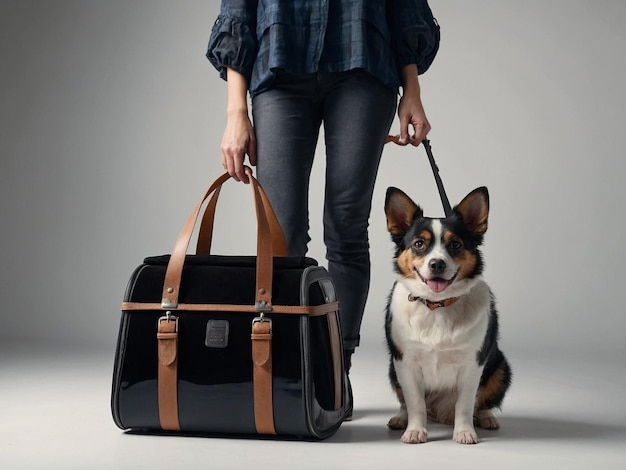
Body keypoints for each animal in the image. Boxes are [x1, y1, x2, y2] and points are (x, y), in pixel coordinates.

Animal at [382, 185, 510, 444]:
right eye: (419, 243)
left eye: (456, 245)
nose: (437, 264)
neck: (437, 305)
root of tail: (440, 413)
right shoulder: (404, 361)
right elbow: (415, 403)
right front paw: (415, 430)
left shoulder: (473, 363)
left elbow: (465, 404)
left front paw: (464, 432)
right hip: (392, 368)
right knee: (406, 402)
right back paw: (401, 419)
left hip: (501, 367)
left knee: (481, 404)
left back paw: (487, 418)